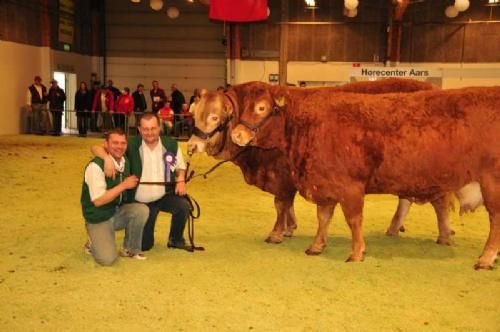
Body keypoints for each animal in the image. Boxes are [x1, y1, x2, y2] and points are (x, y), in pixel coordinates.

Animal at [187, 79, 458, 245]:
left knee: (440, 202)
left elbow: (280, 204)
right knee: (407, 199)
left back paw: (444, 235)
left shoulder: (283, 176)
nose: (191, 145)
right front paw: (290, 227)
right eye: (194, 114)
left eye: (214, 116)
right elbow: (288, 205)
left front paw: (277, 233)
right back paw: (394, 228)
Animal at [231, 82, 500, 270]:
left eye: (261, 107)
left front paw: (357, 252)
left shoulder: (350, 186)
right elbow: (323, 218)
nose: (237, 134)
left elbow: (354, 220)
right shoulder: (325, 183)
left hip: (492, 184)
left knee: (494, 219)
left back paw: (486, 258)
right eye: (240, 108)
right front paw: (316, 246)